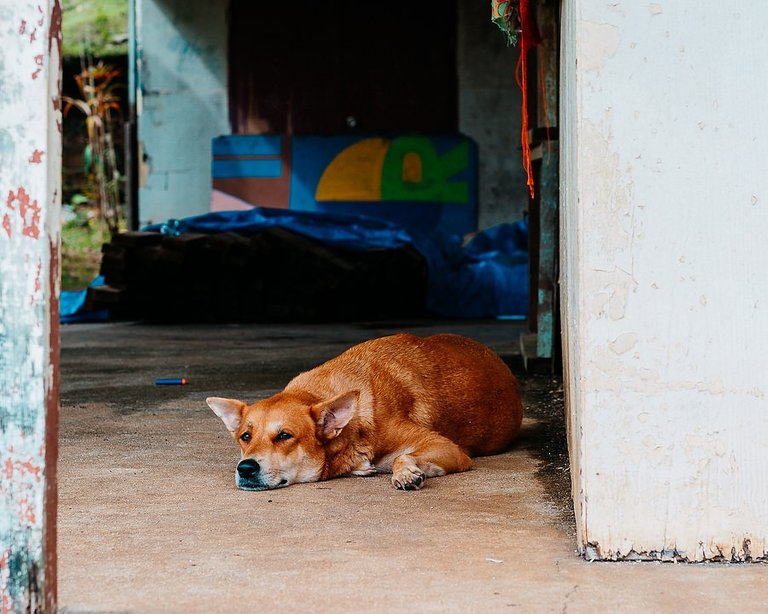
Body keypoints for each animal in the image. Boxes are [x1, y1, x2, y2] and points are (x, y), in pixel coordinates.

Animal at [207, 334, 524, 494]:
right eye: (245, 437)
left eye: (284, 435)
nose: (245, 468)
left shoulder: (448, 448)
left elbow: (401, 457)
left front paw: (407, 473)